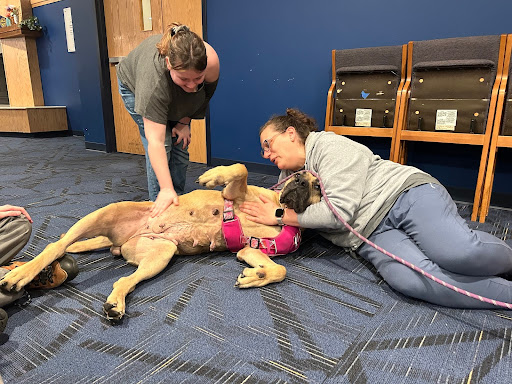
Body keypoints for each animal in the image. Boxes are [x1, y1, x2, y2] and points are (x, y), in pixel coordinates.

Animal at [0, 164, 320, 320]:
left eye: (318, 184)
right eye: (302, 175)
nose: (301, 180)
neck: (279, 211)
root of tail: (123, 240)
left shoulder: (249, 248)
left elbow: (278, 269)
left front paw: (255, 276)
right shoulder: (234, 193)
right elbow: (240, 168)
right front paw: (212, 174)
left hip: (161, 253)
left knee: (124, 280)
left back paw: (116, 304)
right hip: (106, 213)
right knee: (56, 245)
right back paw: (21, 274)